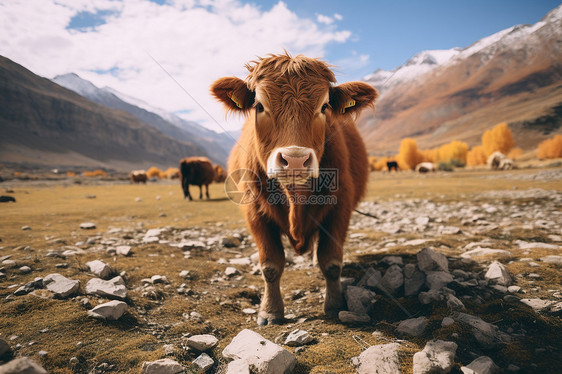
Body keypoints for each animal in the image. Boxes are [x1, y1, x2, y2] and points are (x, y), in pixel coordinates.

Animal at [210, 52, 376, 324]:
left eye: (324, 107)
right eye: (259, 106)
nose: (295, 159)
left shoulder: (340, 207)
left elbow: (331, 262)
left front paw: (334, 304)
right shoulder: (255, 213)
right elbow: (270, 265)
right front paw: (270, 311)